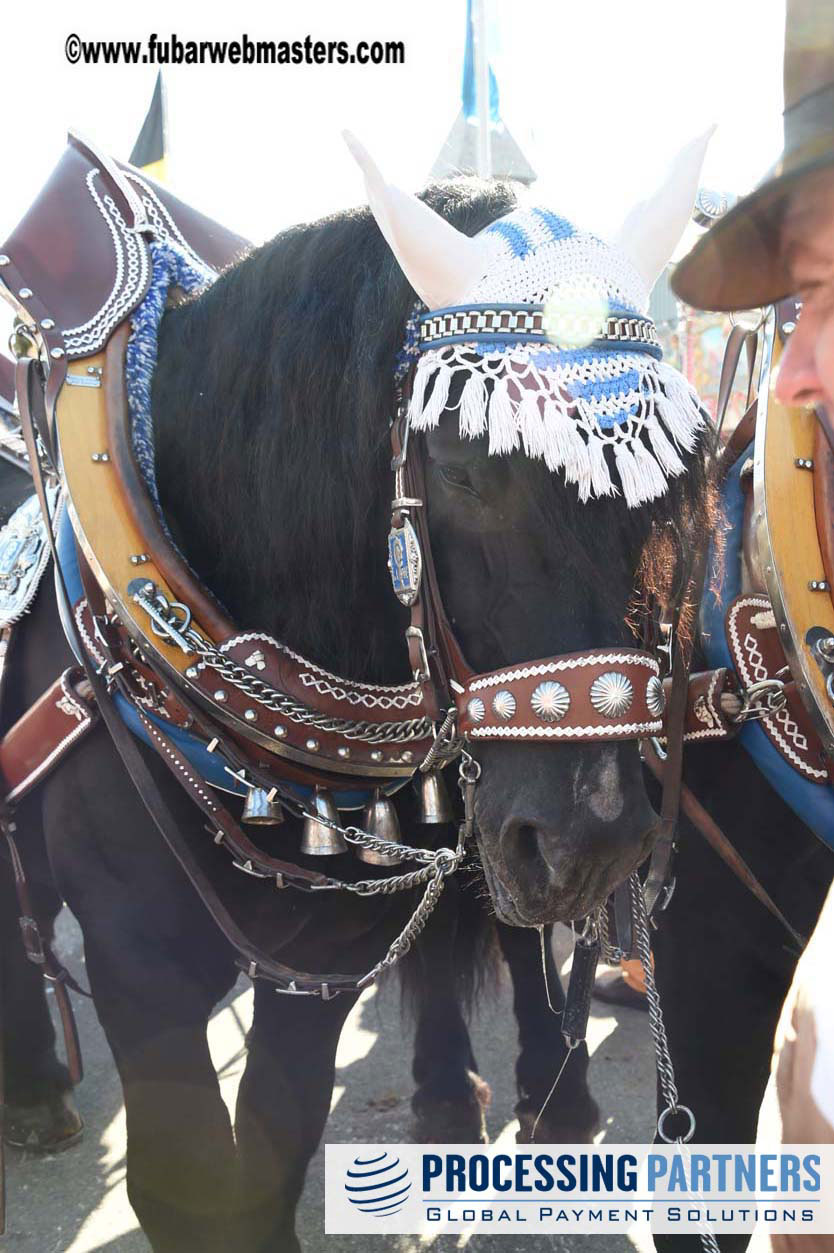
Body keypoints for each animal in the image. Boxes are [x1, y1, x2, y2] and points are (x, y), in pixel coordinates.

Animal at [4, 179, 701, 1253]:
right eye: (459, 469)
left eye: (661, 490)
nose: (594, 842)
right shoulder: (136, 959)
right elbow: (186, 1184)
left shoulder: (322, 952)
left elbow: (276, 1143)